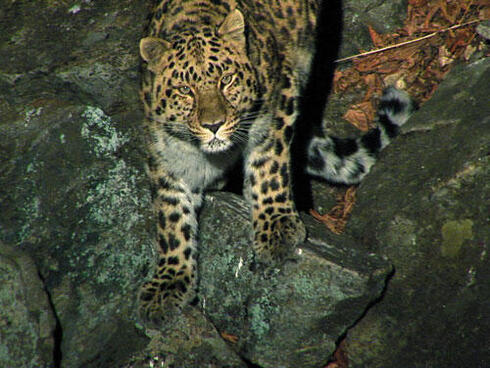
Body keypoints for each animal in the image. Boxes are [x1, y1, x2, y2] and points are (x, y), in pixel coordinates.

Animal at [137, 0, 414, 324]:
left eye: (226, 80)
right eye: (185, 90)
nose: (214, 125)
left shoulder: (280, 100)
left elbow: (268, 167)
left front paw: (276, 227)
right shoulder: (166, 161)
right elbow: (172, 222)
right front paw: (168, 284)